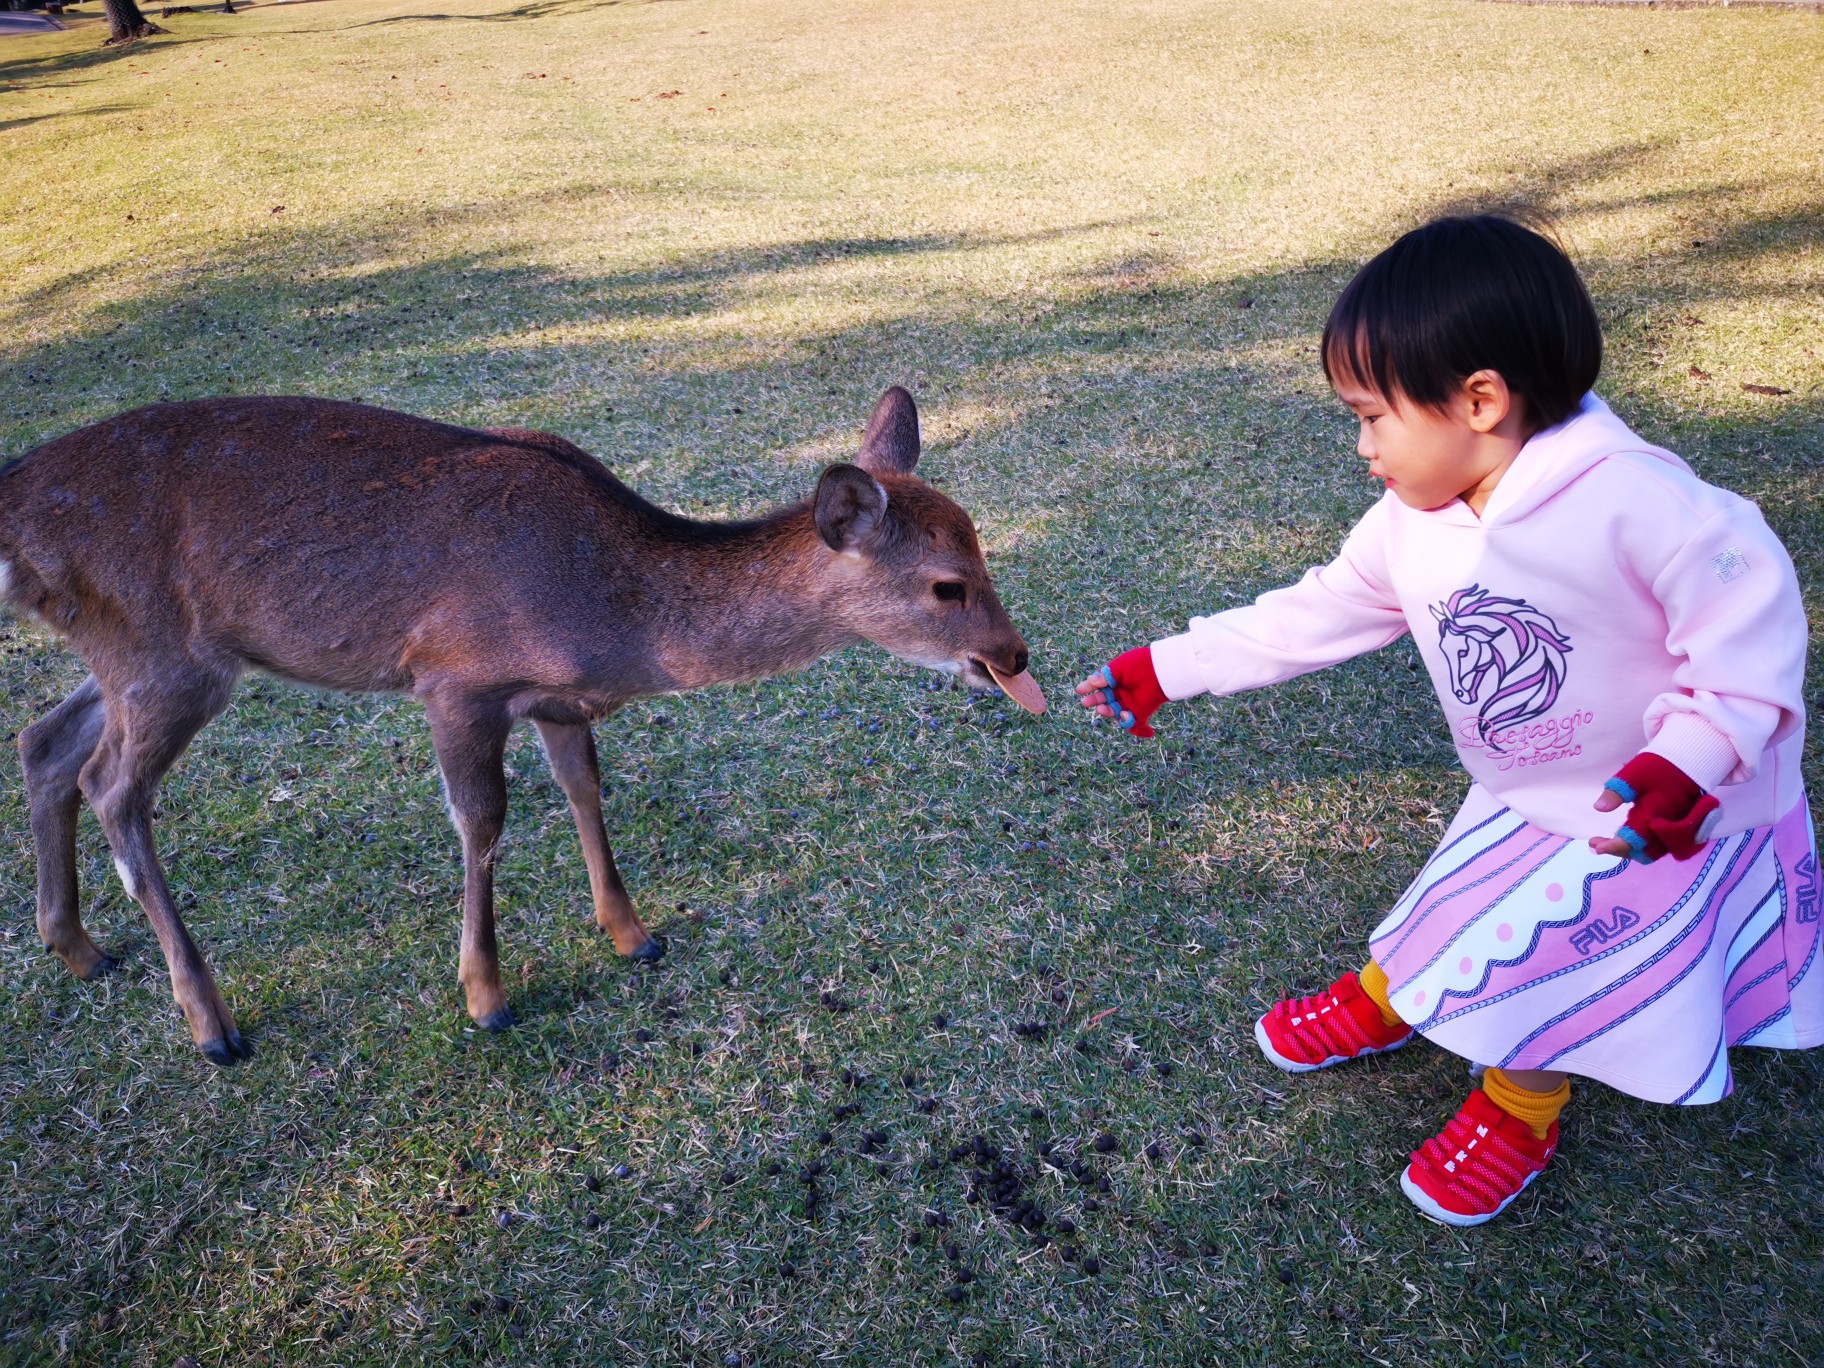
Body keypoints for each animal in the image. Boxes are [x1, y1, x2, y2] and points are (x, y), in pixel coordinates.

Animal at [0, 386, 1043, 1072]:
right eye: (946, 586)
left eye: (983, 546)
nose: (1015, 655)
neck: (614, 619)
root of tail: (13, 519)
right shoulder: (455, 679)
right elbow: (484, 822)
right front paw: (487, 997)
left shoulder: (553, 699)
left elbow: (584, 788)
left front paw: (633, 935)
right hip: (162, 653)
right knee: (112, 787)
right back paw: (211, 1024)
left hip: (138, 654)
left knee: (46, 738)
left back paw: (79, 946)